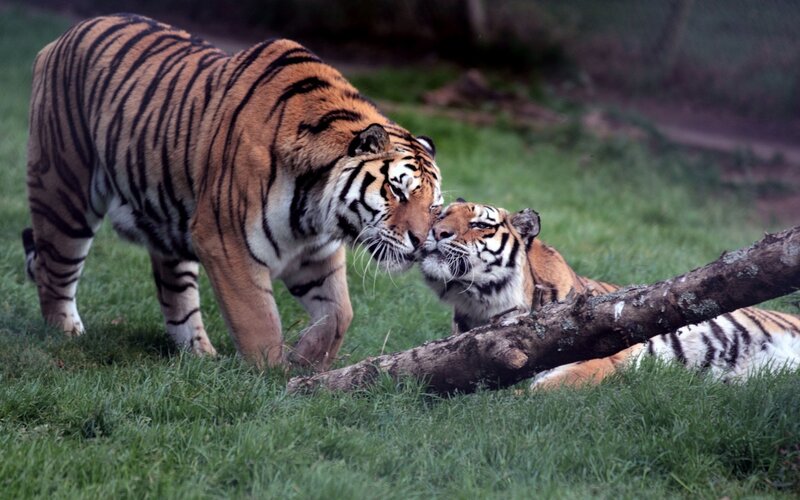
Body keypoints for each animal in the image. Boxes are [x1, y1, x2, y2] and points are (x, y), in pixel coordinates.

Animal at [22, 14, 442, 370]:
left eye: (434, 207)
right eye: (397, 191)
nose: (420, 243)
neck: (316, 209)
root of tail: (62, 38)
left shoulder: (316, 254)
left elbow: (339, 314)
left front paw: (306, 361)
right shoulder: (226, 240)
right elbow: (259, 322)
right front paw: (273, 379)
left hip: (167, 224)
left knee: (177, 297)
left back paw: (199, 356)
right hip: (63, 191)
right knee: (52, 271)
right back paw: (66, 336)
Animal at [418, 200, 800, 388]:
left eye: (480, 225)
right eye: (440, 214)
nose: (436, 233)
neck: (481, 307)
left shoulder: (601, 359)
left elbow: (542, 391)